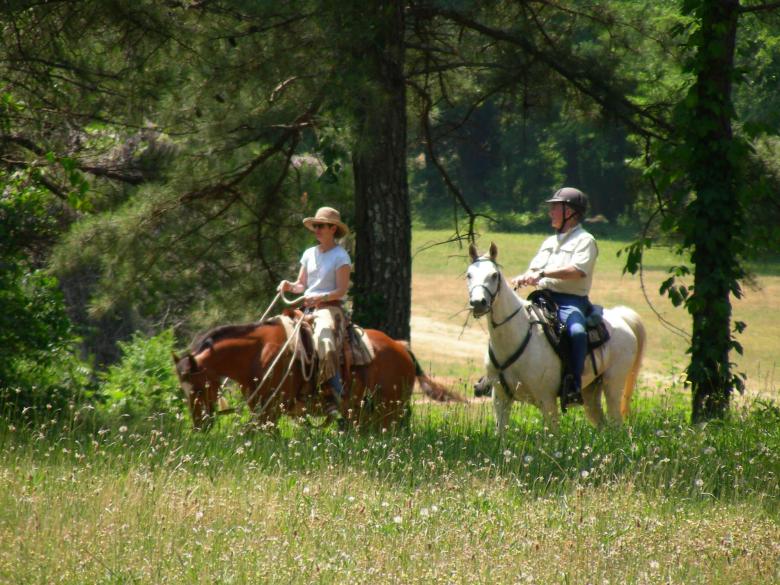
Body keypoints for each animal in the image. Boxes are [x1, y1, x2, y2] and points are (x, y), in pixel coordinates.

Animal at [172, 316, 458, 431]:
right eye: (184, 391)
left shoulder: (270, 412)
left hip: (390, 410)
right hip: (364, 412)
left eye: (199, 388)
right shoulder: (260, 410)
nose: (199, 426)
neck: (257, 354)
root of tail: (401, 347)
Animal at [467, 243, 645, 434]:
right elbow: (501, 434)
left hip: (613, 385)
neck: (515, 337)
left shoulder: (547, 400)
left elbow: (552, 434)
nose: (478, 303)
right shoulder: (500, 398)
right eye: (468, 274)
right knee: (601, 423)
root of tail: (622, 318)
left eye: (494, 275)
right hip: (591, 391)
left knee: (616, 423)